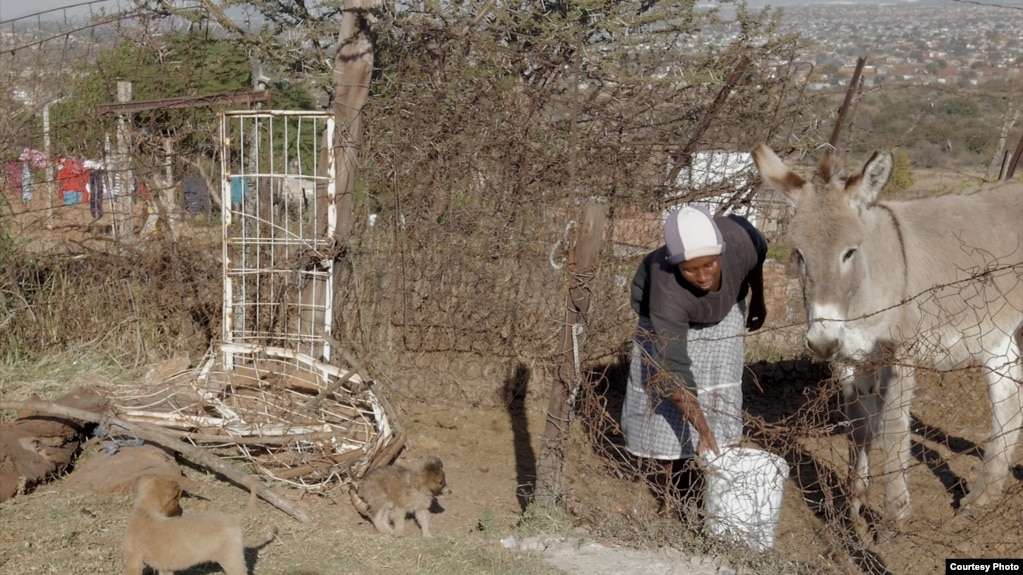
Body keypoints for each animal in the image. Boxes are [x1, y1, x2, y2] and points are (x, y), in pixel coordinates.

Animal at [123, 472, 274, 572]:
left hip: (231, 559)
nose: (181, 511)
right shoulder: (165, 567)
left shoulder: (133, 558)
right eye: (177, 500)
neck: (145, 510)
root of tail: (233, 518)